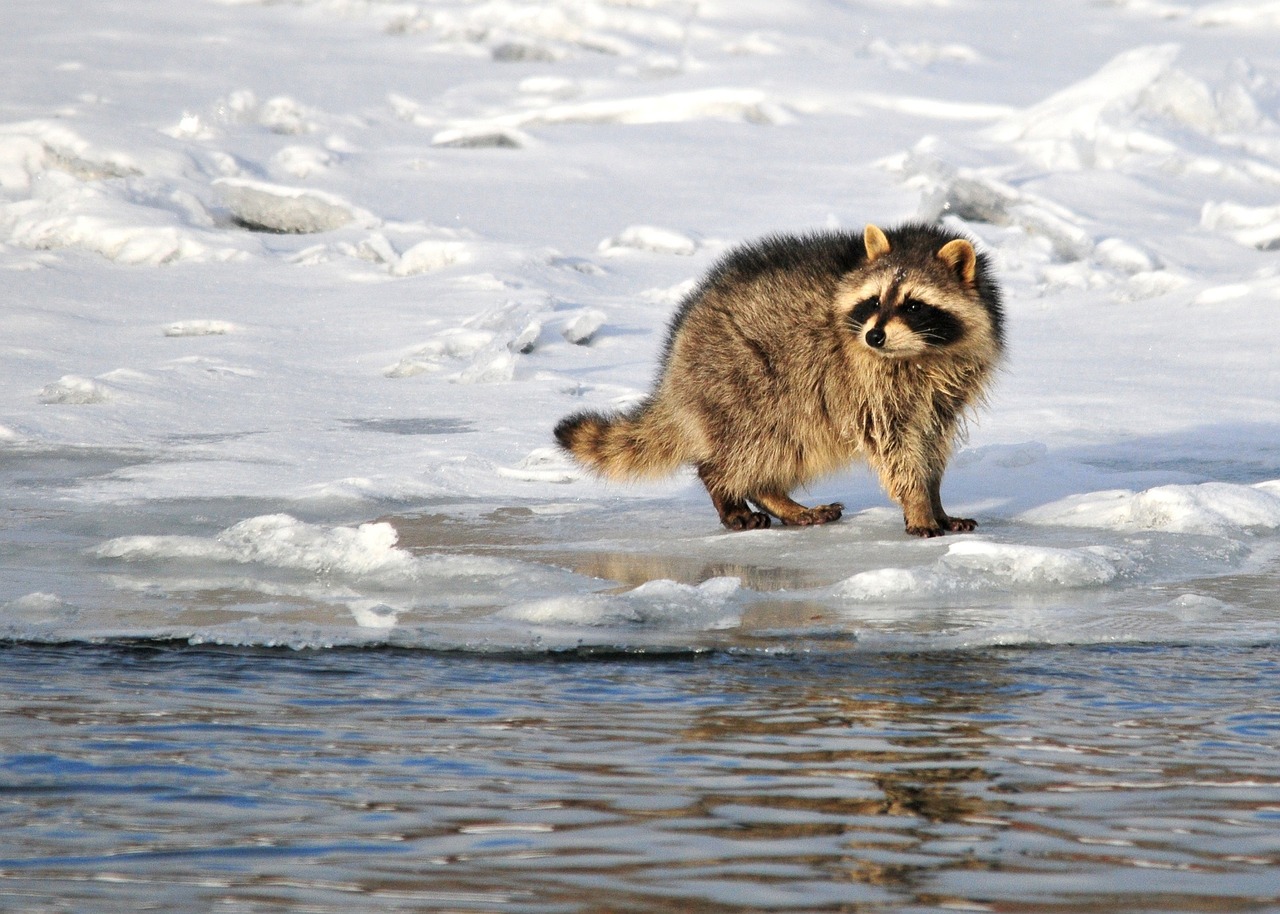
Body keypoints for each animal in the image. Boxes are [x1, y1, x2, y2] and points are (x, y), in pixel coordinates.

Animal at [555, 222, 1004, 536]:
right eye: (874, 301)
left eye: (913, 305)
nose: (874, 336)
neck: (919, 354)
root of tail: (677, 354)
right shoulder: (866, 381)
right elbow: (893, 445)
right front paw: (918, 504)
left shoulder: (943, 390)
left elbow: (930, 444)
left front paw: (936, 500)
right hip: (744, 378)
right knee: (757, 444)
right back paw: (729, 489)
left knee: (790, 444)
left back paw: (773, 496)